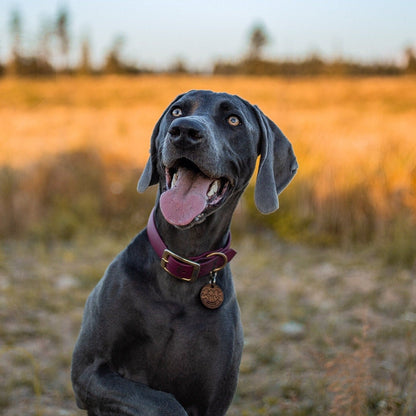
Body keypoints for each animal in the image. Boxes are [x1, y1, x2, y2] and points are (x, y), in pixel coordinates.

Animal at [72, 89, 300, 414]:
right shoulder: (88, 372)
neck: (183, 259)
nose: (184, 132)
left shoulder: (213, 399)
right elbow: (163, 402)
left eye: (234, 120)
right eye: (177, 112)